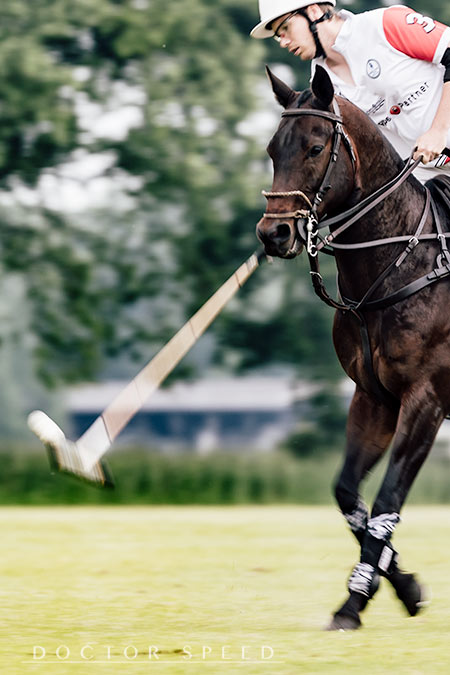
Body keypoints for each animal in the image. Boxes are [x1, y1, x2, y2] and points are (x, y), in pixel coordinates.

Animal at [256, 66, 450, 632]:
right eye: (273, 149)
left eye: (317, 147)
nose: (273, 234)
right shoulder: (373, 397)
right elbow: (348, 492)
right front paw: (404, 587)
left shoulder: (426, 398)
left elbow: (387, 499)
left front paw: (354, 601)